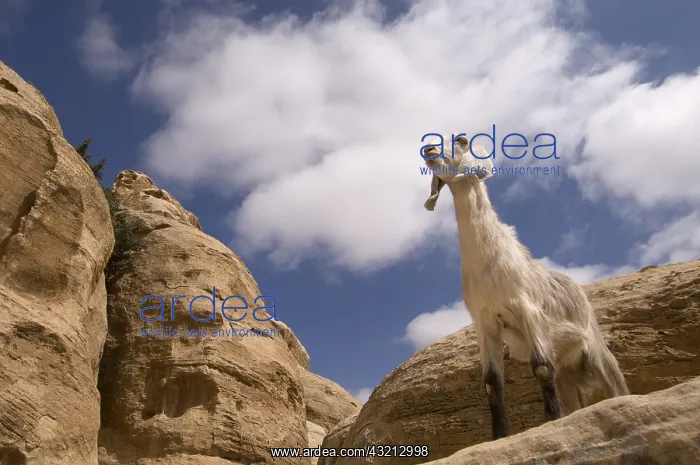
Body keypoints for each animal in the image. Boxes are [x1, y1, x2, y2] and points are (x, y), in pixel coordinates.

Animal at [421, 135, 629, 440]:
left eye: (461, 140)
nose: (429, 149)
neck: (489, 262)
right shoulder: (485, 322)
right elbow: (491, 383)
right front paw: (500, 436)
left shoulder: (528, 310)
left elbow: (541, 368)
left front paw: (552, 421)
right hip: (567, 372)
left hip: (598, 353)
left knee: (616, 386)